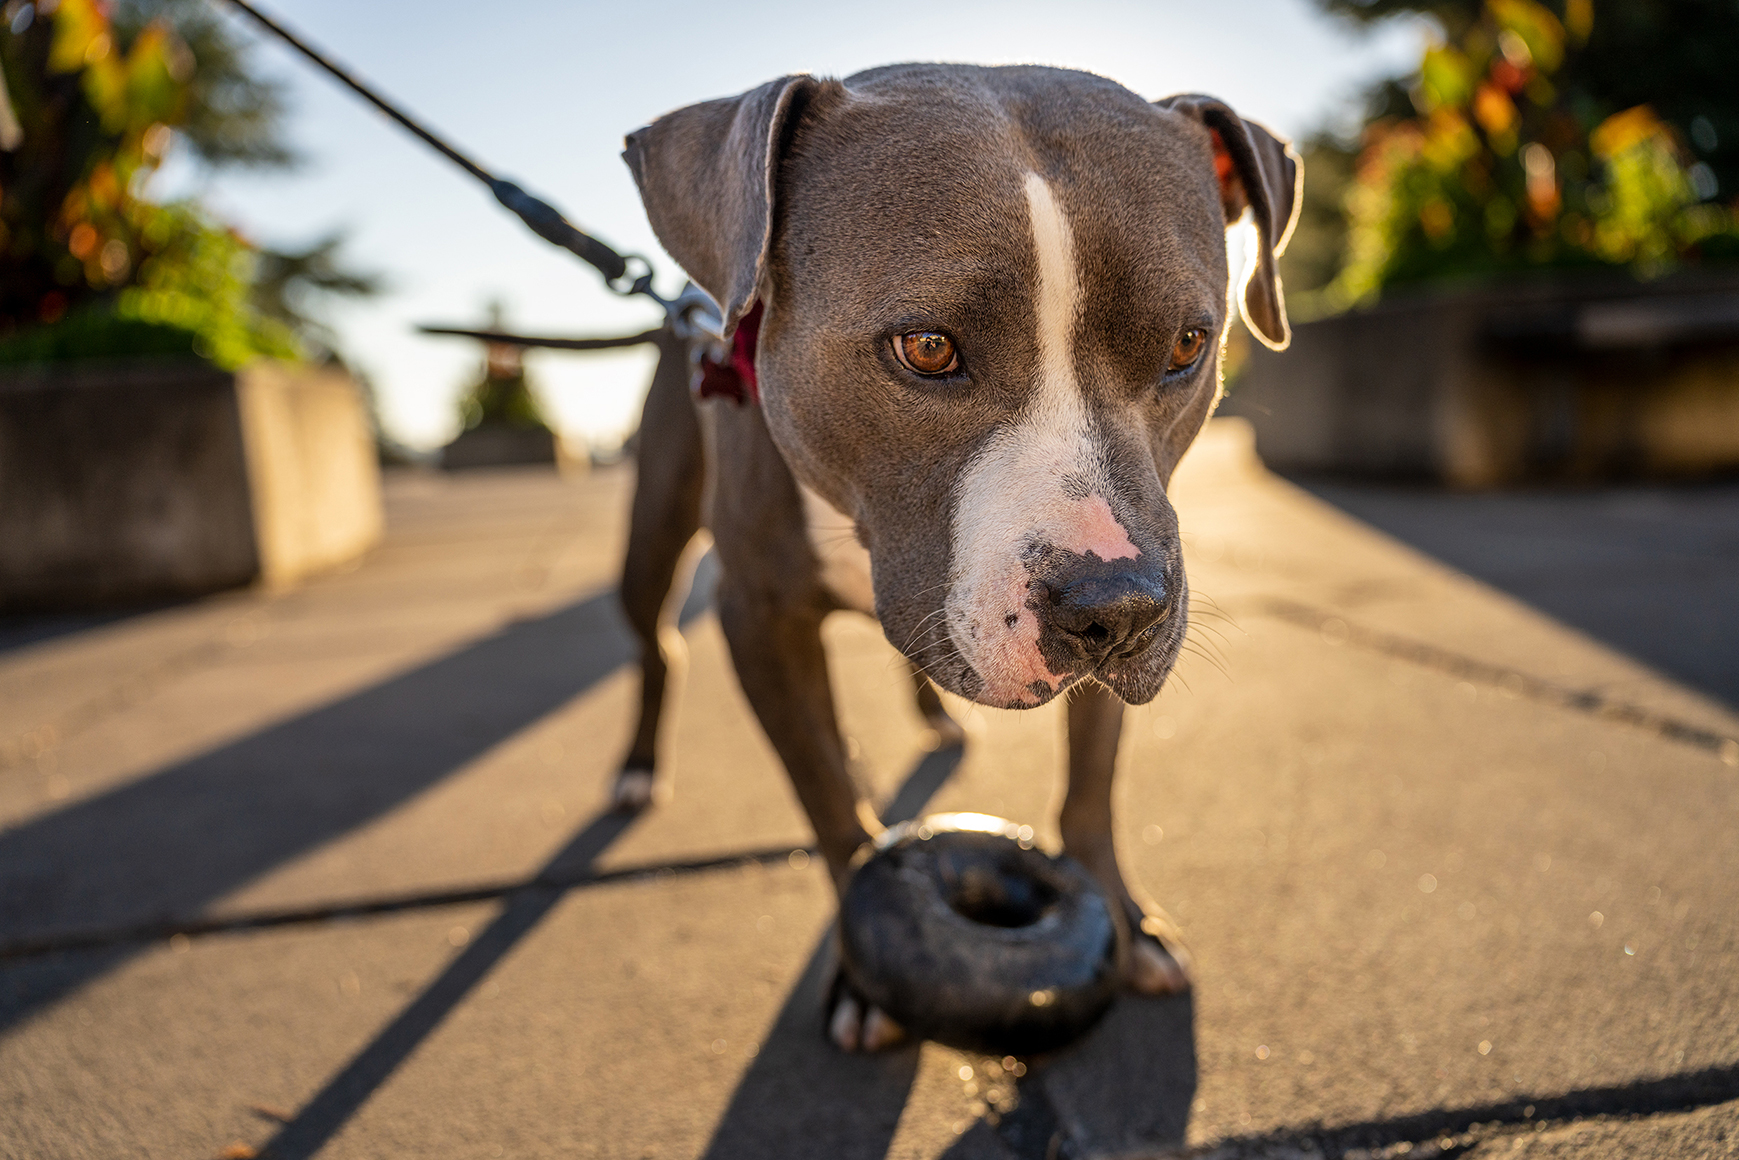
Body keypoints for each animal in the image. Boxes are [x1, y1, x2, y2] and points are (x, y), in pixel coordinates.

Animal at [612, 63, 1293, 1057]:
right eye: (926, 347)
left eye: (1187, 344)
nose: (1117, 609)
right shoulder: (759, 618)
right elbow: (828, 796)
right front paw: (866, 971)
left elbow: (1092, 784)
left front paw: (1123, 919)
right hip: (653, 529)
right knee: (657, 641)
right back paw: (635, 768)